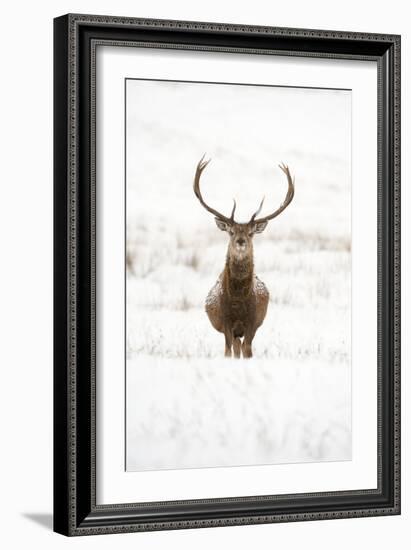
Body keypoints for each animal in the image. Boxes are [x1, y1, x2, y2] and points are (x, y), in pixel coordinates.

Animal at [195, 157, 294, 360]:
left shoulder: (252, 322)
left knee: (240, 346)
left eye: (251, 233)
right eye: (231, 231)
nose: (240, 241)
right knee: (235, 347)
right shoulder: (225, 321)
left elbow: (248, 351)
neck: (238, 302)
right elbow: (227, 352)